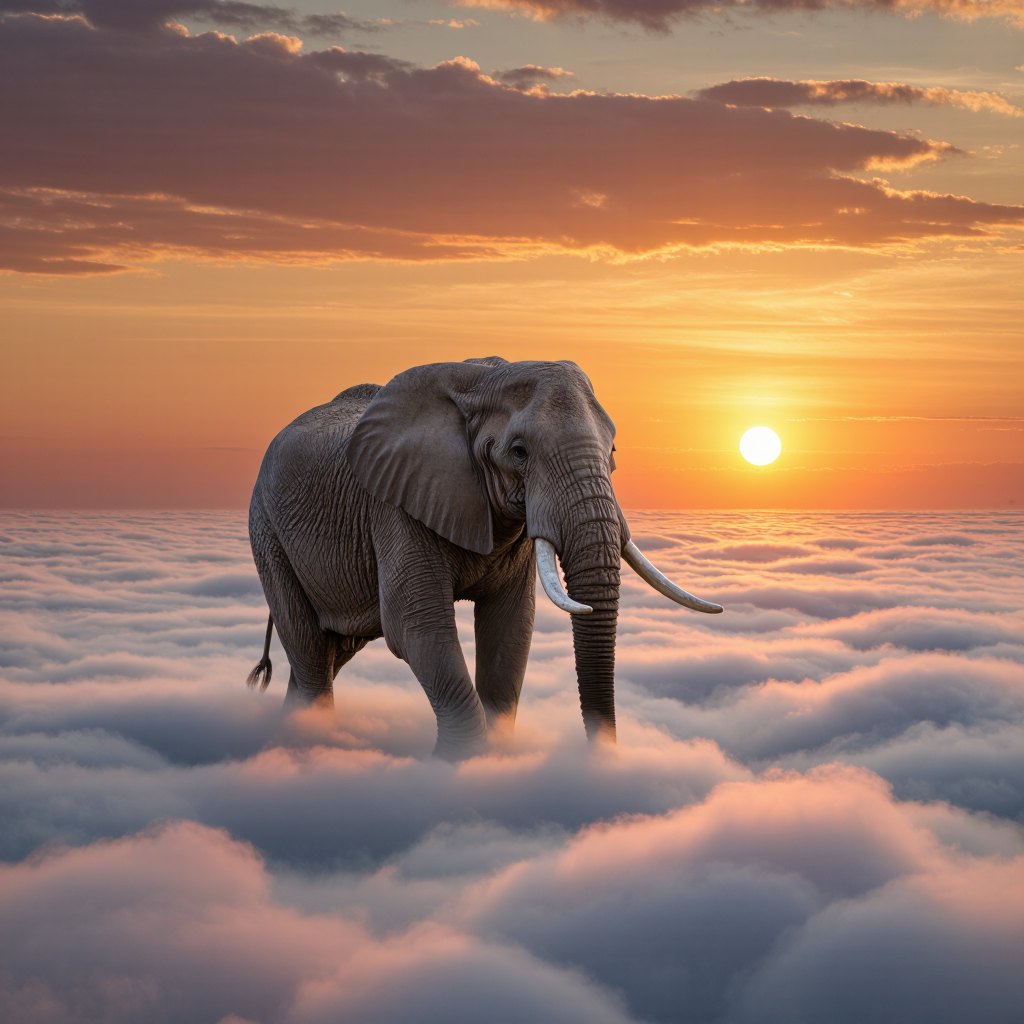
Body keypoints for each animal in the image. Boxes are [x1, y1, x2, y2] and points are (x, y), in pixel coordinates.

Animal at [247, 357, 721, 760]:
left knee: (329, 652)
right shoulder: (395, 505)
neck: (483, 380)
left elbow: (509, 628)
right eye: (519, 452)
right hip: (267, 532)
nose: (600, 755)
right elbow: (415, 626)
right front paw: (458, 766)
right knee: (309, 649)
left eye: (614, 452)